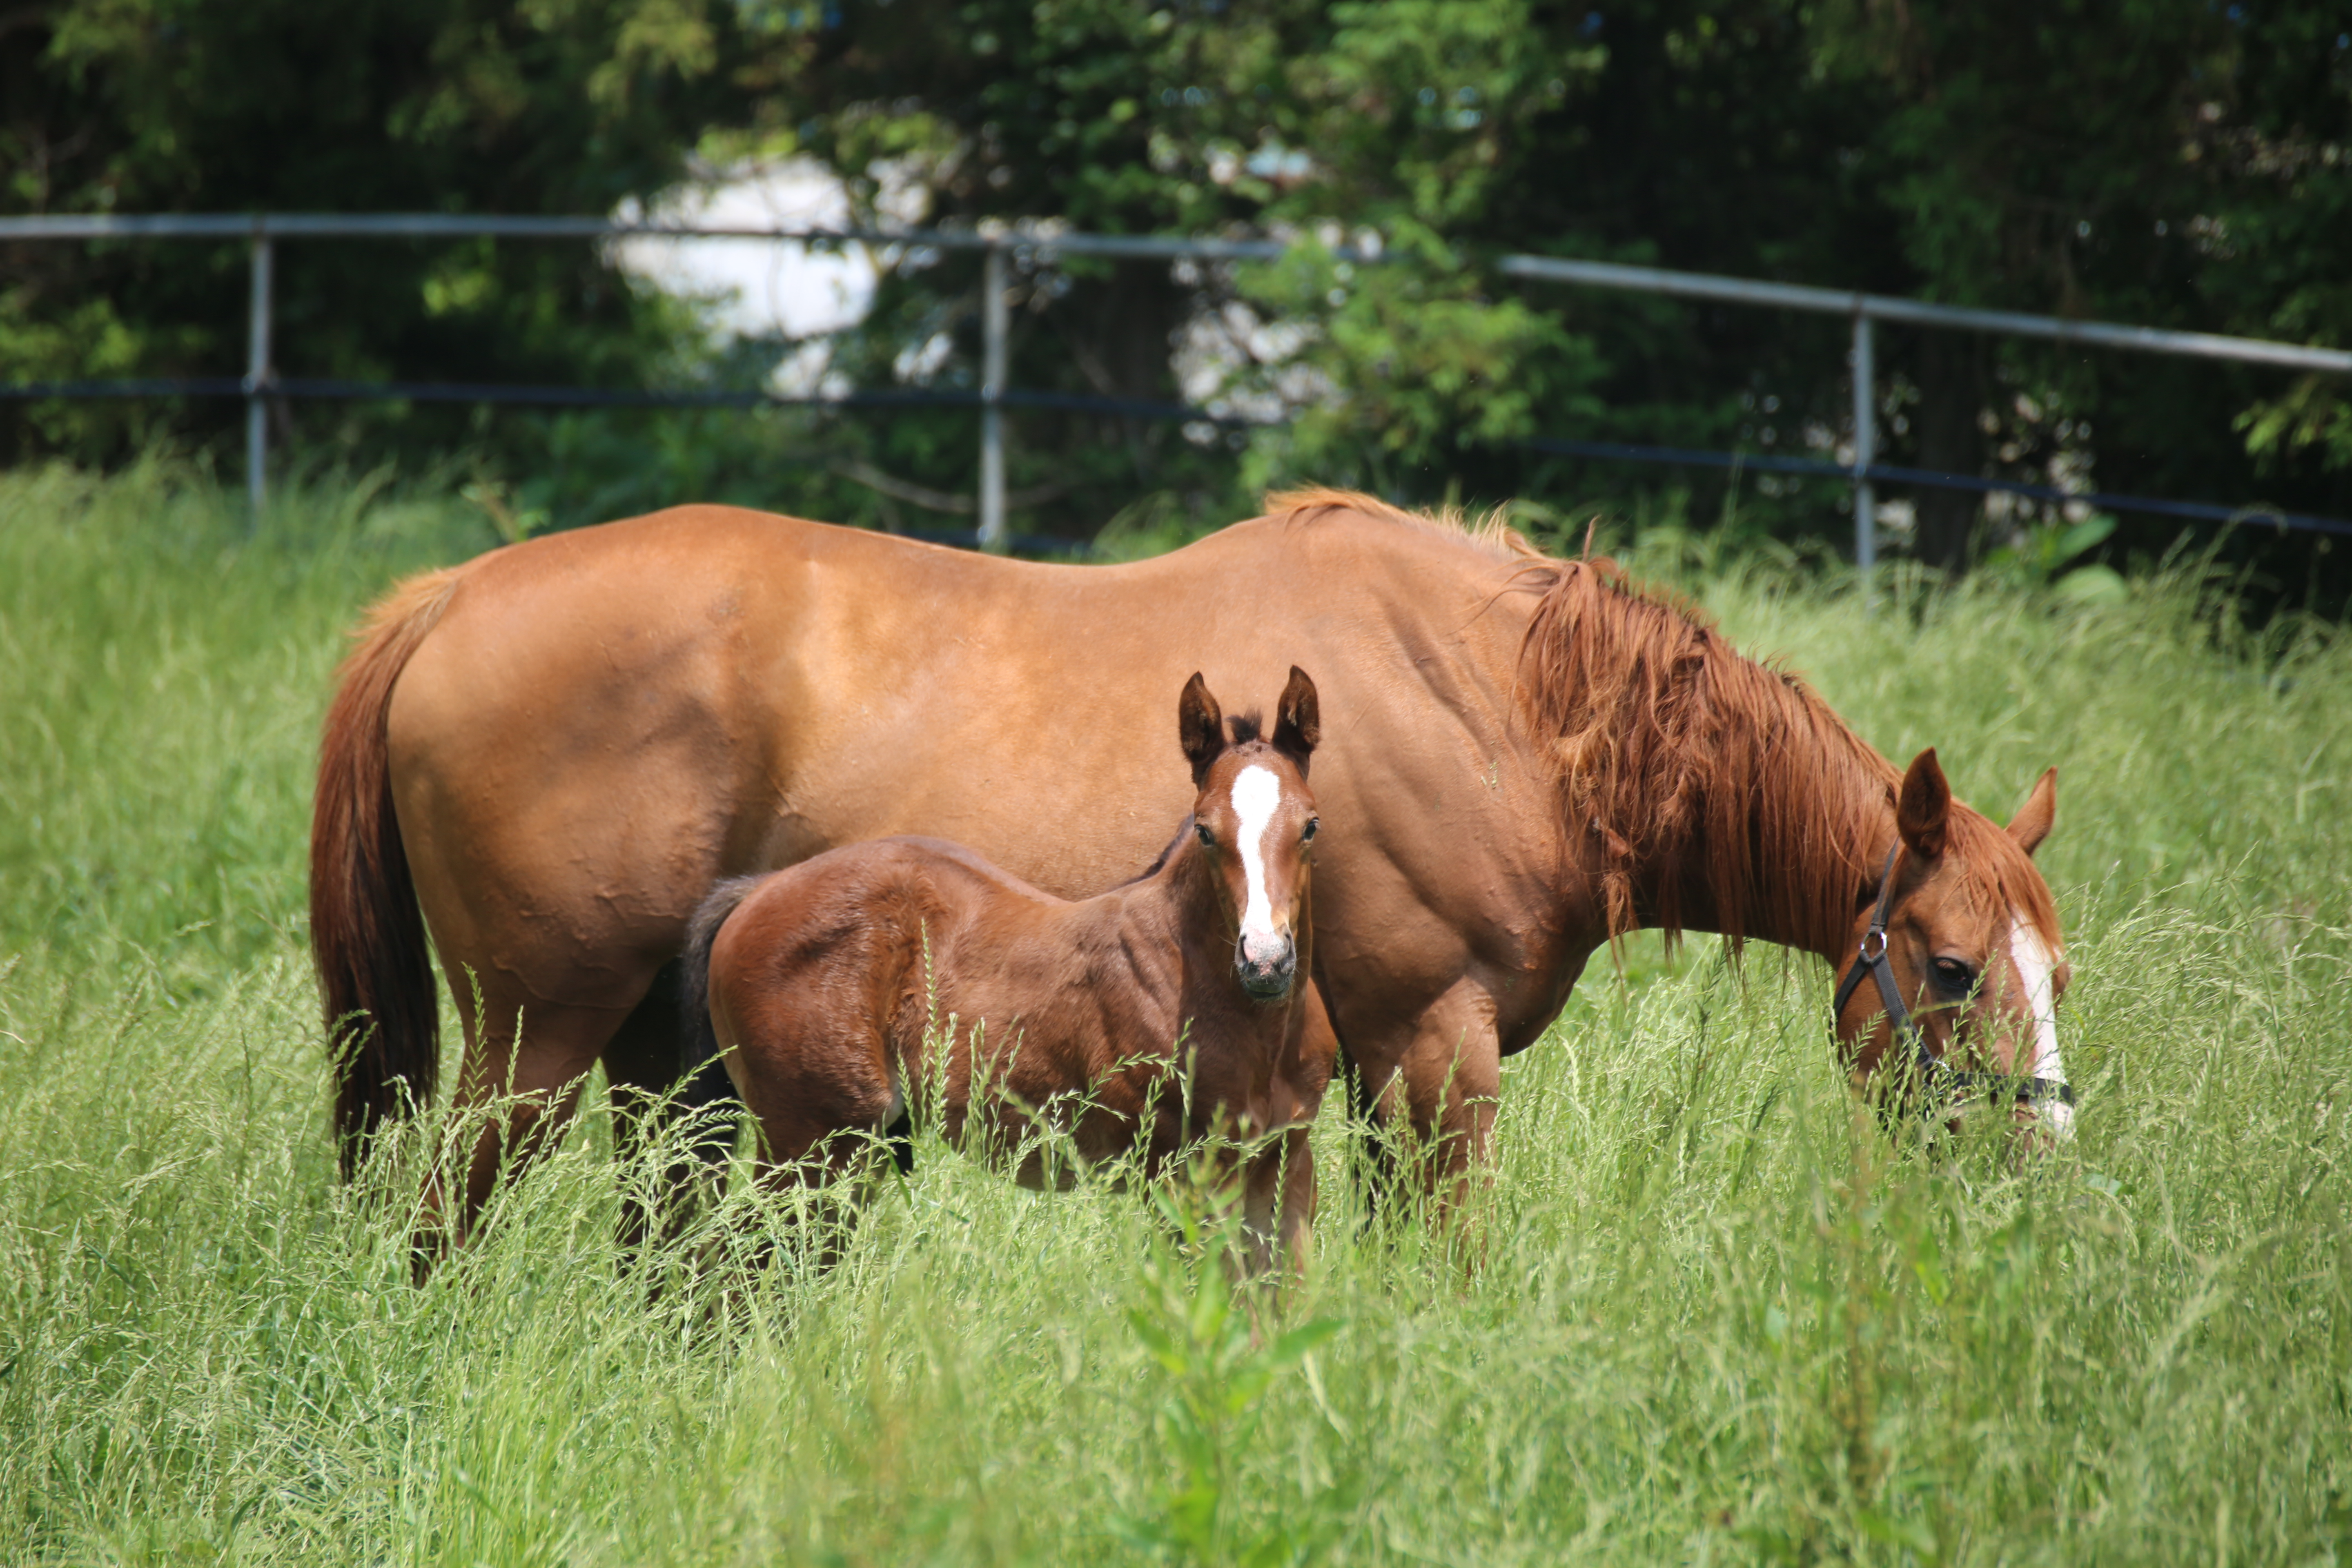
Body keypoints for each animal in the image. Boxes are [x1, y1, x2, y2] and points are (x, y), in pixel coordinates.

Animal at [686, 672, 1336, 1278]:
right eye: (1204, 830)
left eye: (1310, 826)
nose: (1265, 960)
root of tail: (757, 891)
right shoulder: (1185, 1176)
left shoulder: (1285, 1167)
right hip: (808, 1147)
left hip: (845, 1159)